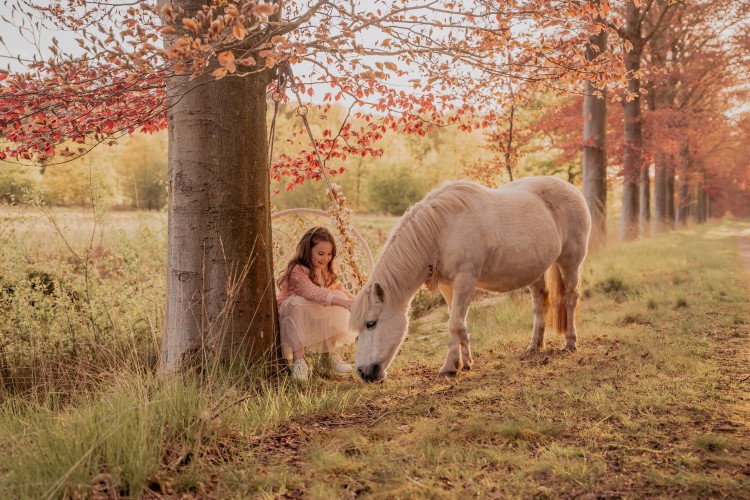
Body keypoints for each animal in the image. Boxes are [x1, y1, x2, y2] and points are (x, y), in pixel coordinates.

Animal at [350, 176, 591, 383]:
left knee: (570, 298)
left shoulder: (465, 280)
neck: (441, 229)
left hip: (571, 261)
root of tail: (572, 189)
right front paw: (463, 362)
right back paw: (535, 346)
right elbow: (457, 322)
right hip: (535, 269)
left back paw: (570, 342)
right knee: (541, 301)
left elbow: (454, 323)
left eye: (371, 323)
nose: (364, 373)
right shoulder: (448, 286)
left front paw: (449, 367)